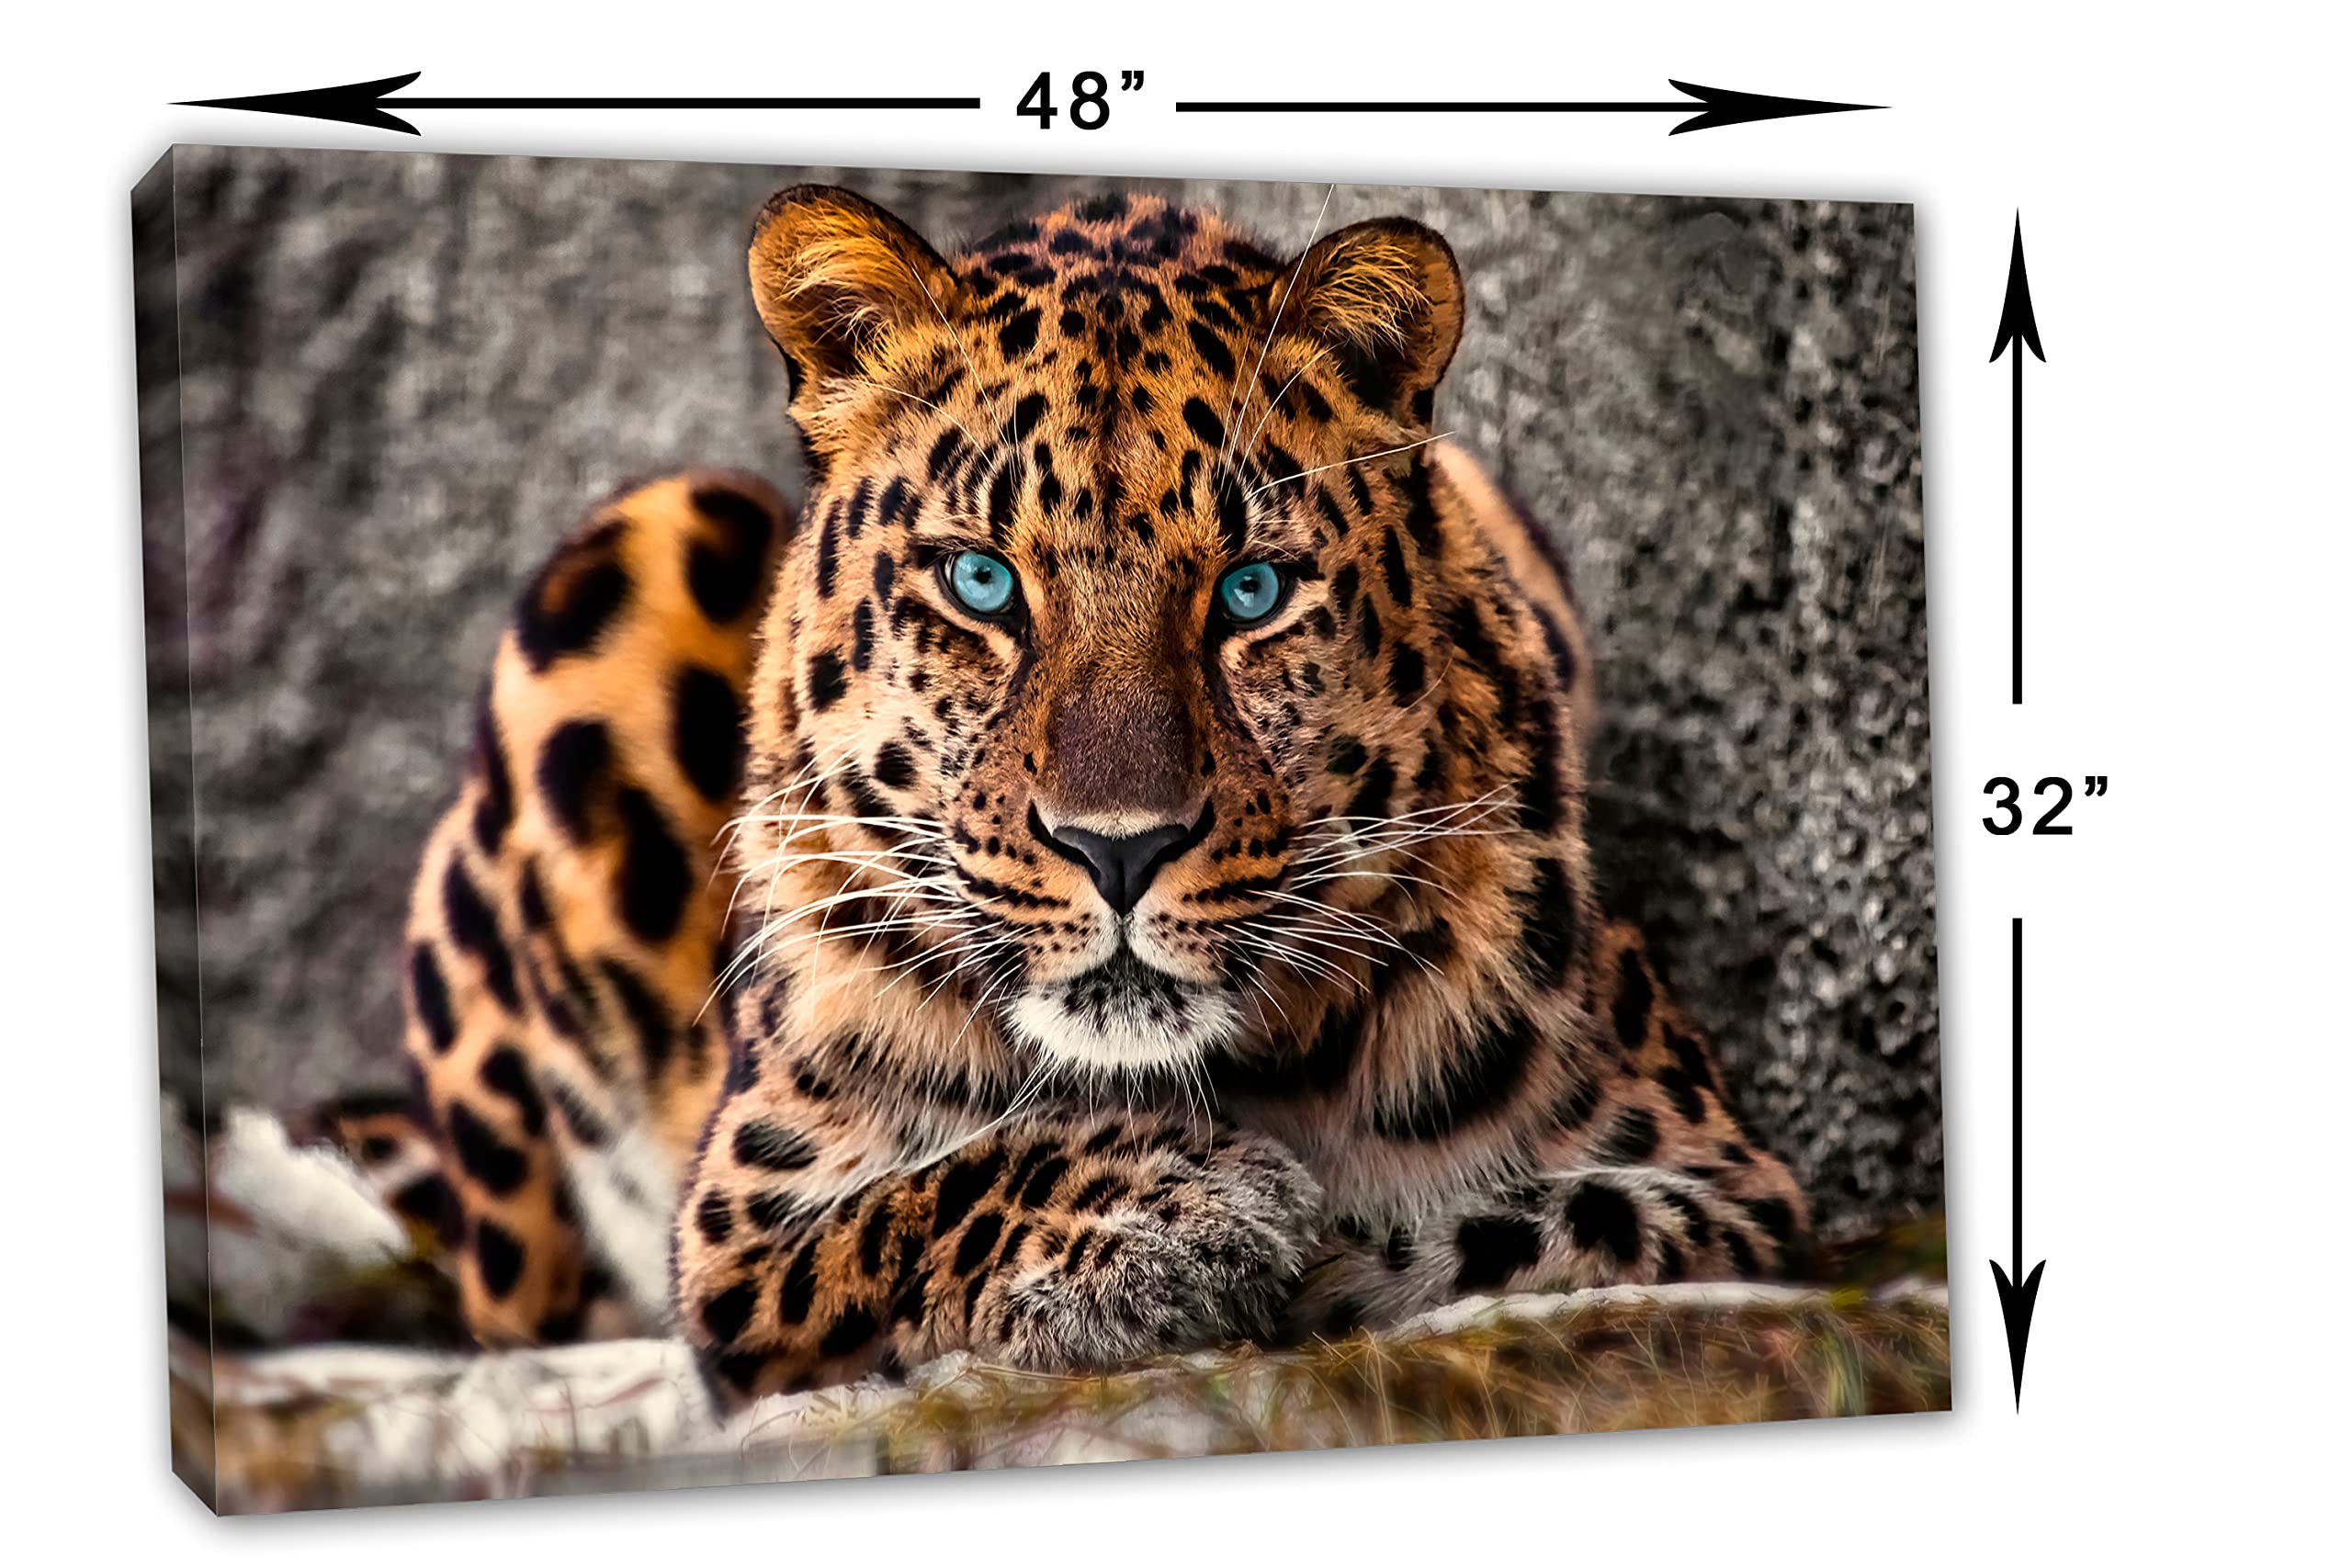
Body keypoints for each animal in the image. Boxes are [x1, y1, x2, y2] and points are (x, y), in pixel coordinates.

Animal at [392, 184, 1812, 1403]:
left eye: (1250, 590)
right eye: (980, 583)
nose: (1118, 851)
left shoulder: (1730, 1188)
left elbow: (1519, 1228)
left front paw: (1303, 1245)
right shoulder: (737, 1237)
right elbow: (916, 1198)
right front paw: (1168, 1221)